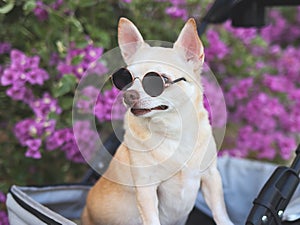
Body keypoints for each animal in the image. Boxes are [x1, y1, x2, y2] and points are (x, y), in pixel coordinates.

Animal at [82, 17, 234, 225]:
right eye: (126, 79)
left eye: (159, 80)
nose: (129, 95)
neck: (172, 132)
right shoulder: (147, 190)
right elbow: (152, 219)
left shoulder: (211, 176)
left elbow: (220, 210)